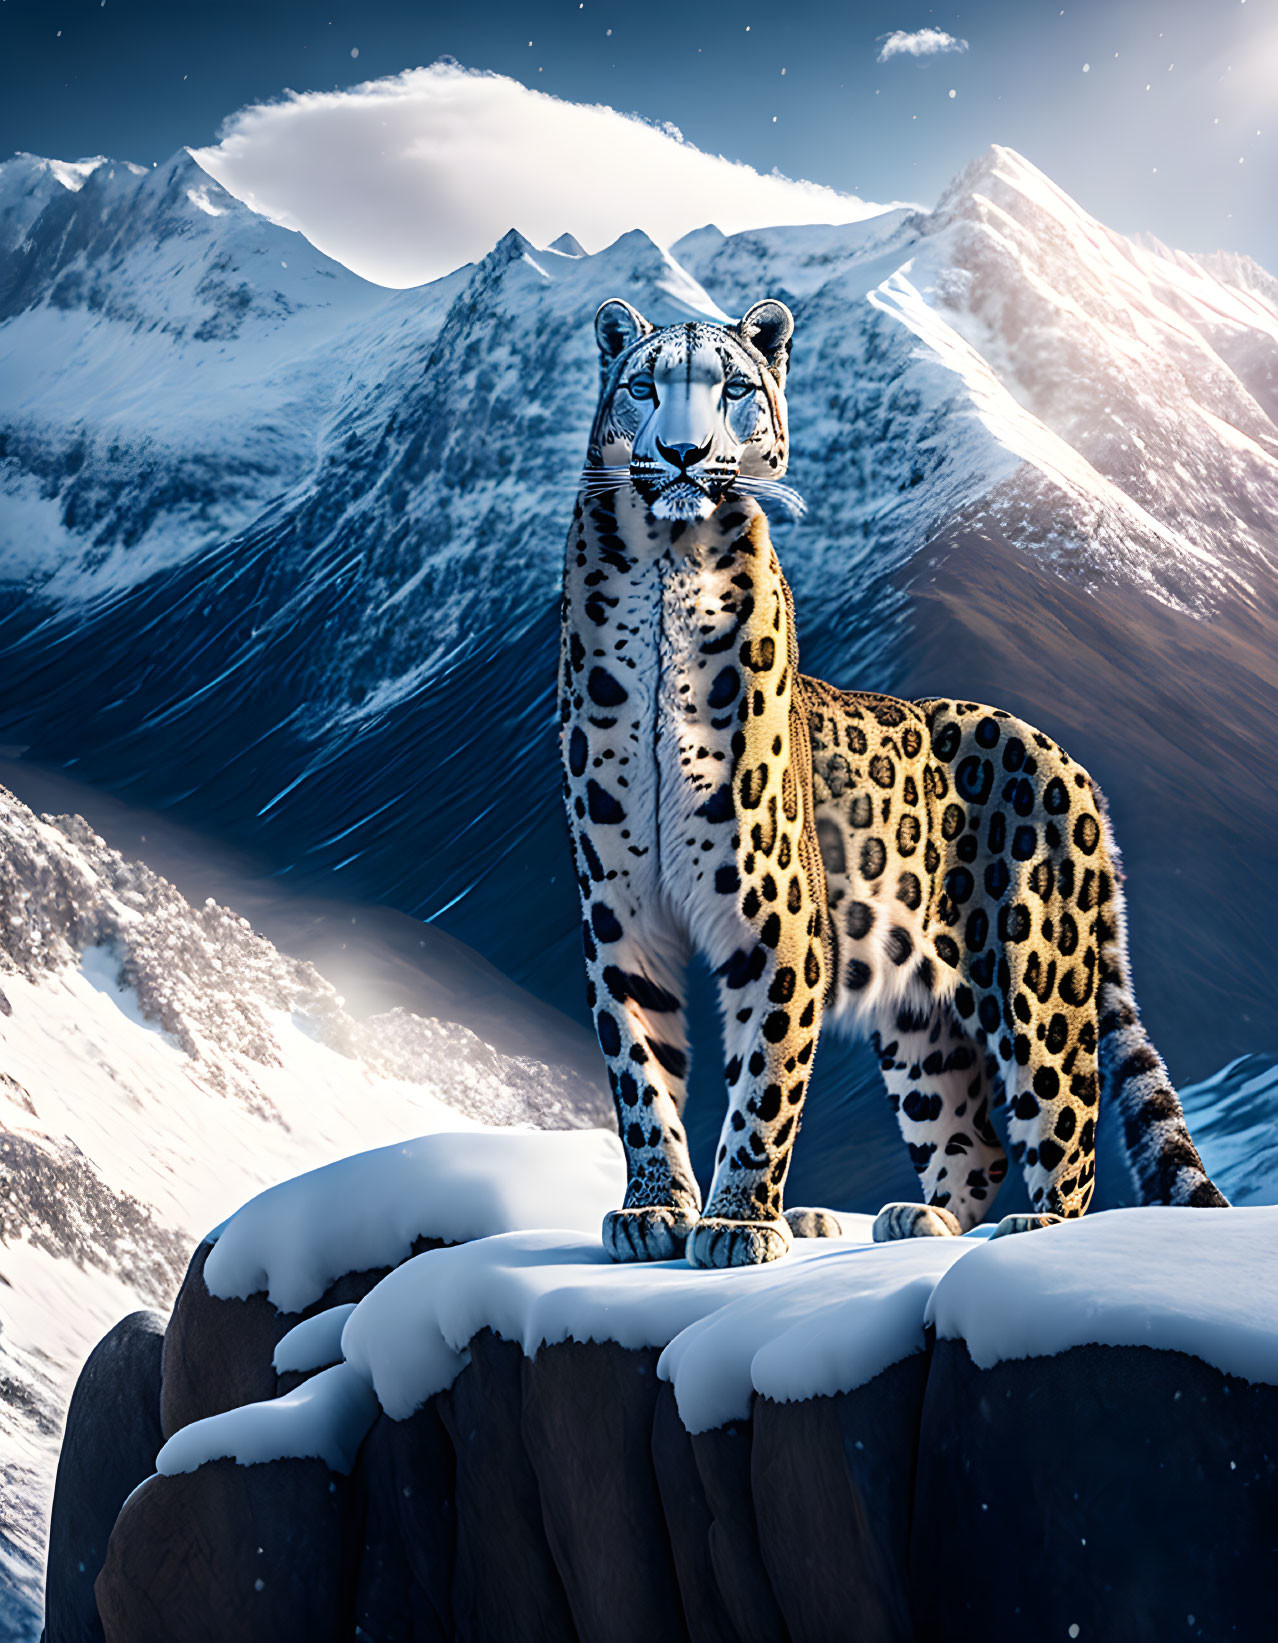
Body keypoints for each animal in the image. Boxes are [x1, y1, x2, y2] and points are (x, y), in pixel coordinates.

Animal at [558, 295, 1222, 1268]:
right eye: (643, 385)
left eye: (734, 388)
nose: (683, 451)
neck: (668, 575)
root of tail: (1071, 762)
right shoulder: (620, 911)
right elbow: (640, 1071)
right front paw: (653, 1210)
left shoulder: (777, 918)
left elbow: (764, 1080)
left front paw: (738, 1222)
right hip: (921, 1025)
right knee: (971, 1135)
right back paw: (912, 1218)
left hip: (1035, 971)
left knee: (1066, 1120)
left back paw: (1031, 1227)